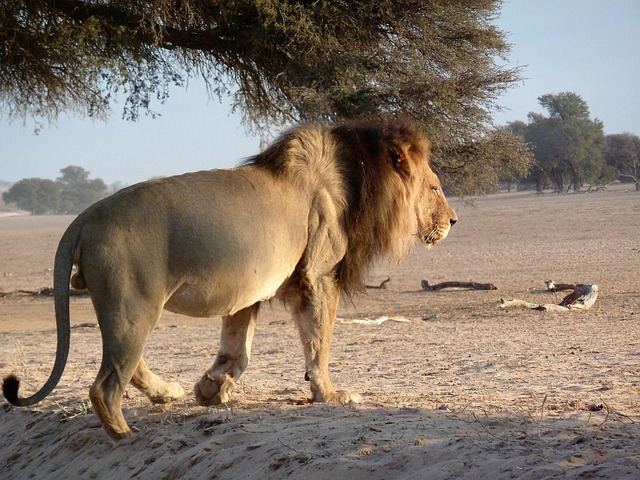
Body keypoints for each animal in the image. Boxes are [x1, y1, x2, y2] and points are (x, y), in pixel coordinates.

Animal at [2, 120, 457, 439]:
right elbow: (319, 341)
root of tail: (83, 218)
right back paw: (125, 435)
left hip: (122, 309)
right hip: (134, 304)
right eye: (435, 188)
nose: (454, 220)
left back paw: (168, 393)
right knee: (106, 384)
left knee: (125, 366)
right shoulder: (317, 277)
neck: (359, 177)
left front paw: (212, 388)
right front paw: (329, 394)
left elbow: (238, 349)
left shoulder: (251, 290)